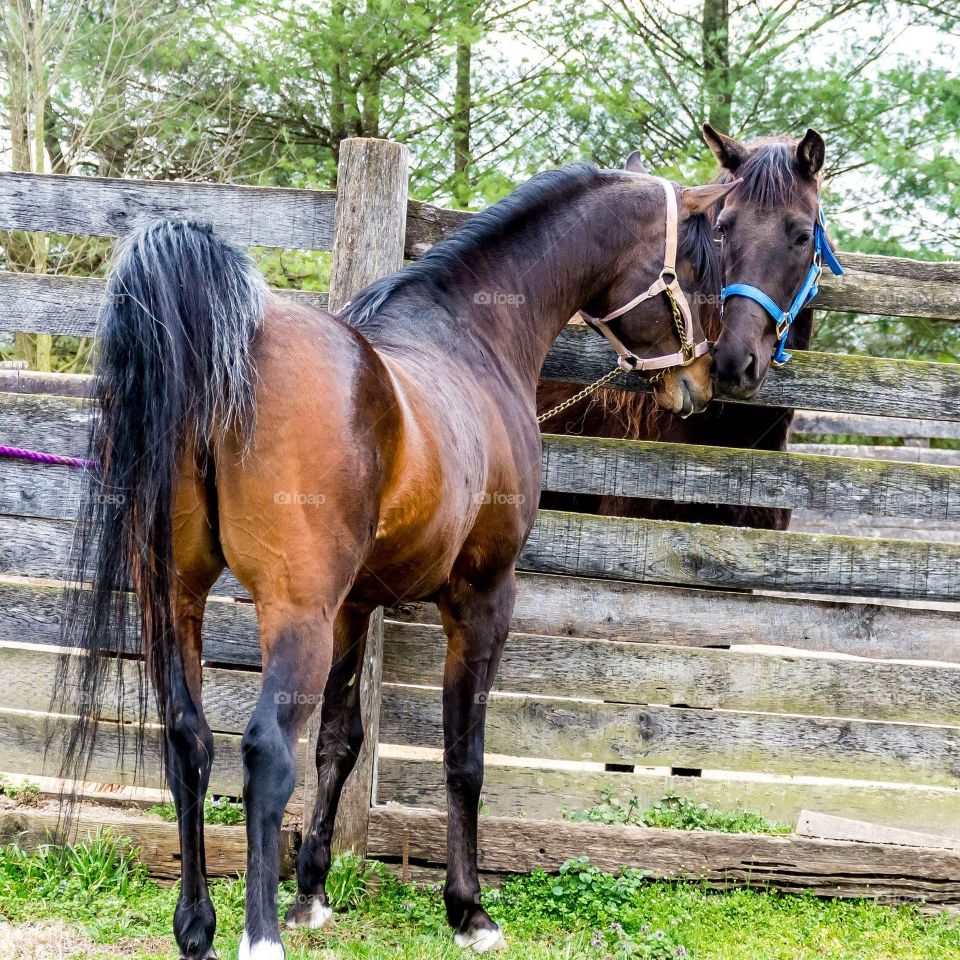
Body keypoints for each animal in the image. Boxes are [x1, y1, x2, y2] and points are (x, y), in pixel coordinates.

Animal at [62, 161, 752, 956]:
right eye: (698, 264)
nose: (703, 380)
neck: (469, 337)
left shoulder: (353, 608)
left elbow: (340, 742)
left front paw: (312, 892)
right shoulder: (481, 597)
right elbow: (462, 756)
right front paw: (468, 909)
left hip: (176, 598)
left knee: (187, 741)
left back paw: (197, 927)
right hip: (293, 611)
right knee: (265, 752)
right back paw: (257, 936)